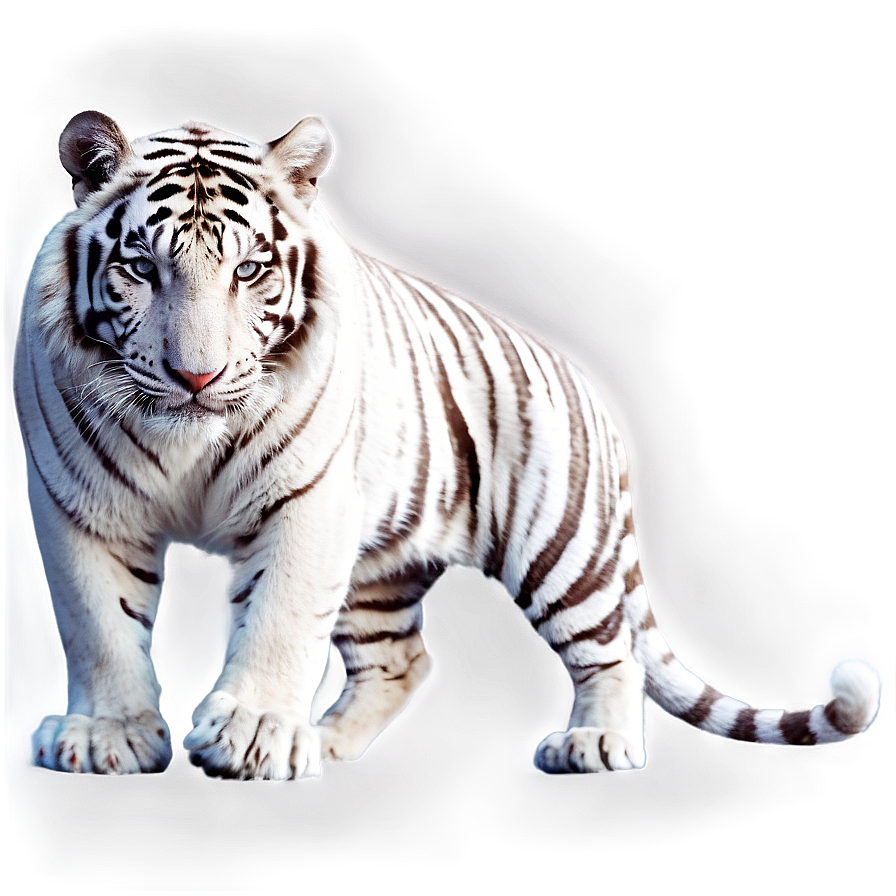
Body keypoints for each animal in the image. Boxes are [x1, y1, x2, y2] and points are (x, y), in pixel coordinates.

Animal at [15, 110, 880, 779]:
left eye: (252, 270)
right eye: (139, 268)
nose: (198, 376)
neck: (187, 444)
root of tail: (595, 395)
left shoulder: (305, 504)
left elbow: (279, 619)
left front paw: (252, 733)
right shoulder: (78, 507)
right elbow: (98, 628)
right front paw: (106, 736)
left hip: (558, 548)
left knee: (613, 651)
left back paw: (595, 743)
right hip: (377, 568)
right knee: (404, 661)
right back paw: (328, 741)